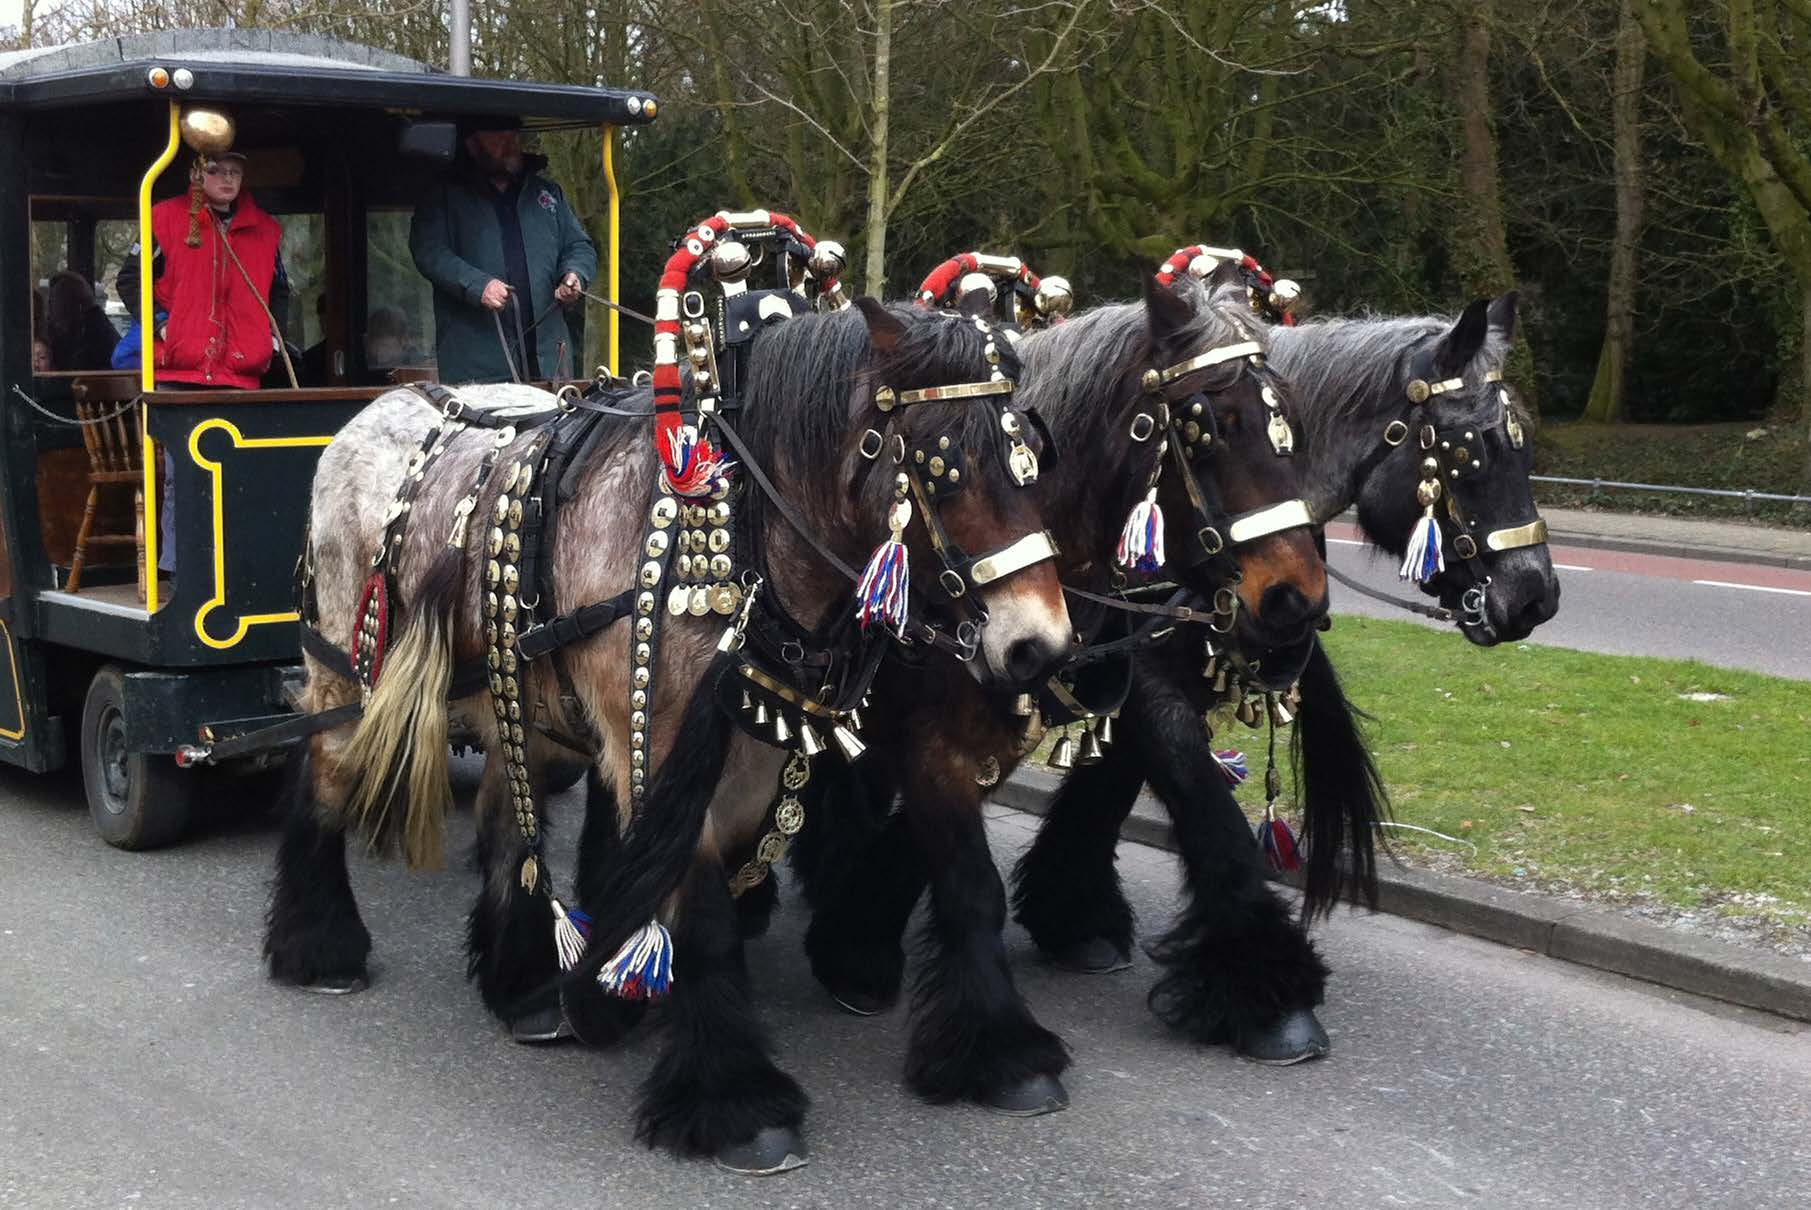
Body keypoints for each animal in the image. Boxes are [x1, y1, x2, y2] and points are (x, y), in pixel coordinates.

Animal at [258, 293, 1072, 1173]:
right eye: (945, 465)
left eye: (1034, 458)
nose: (1039, 646)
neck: (739, 531)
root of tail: (381, 405)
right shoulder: (661, 751)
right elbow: (706, 922)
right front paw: (736, 1102)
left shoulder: (760, 758)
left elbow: (969, 885)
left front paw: (1001, 1054)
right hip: (347, 671)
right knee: (321, 775)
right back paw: (319, 946)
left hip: (523, 695)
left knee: (509, 821)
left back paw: (524, 985)